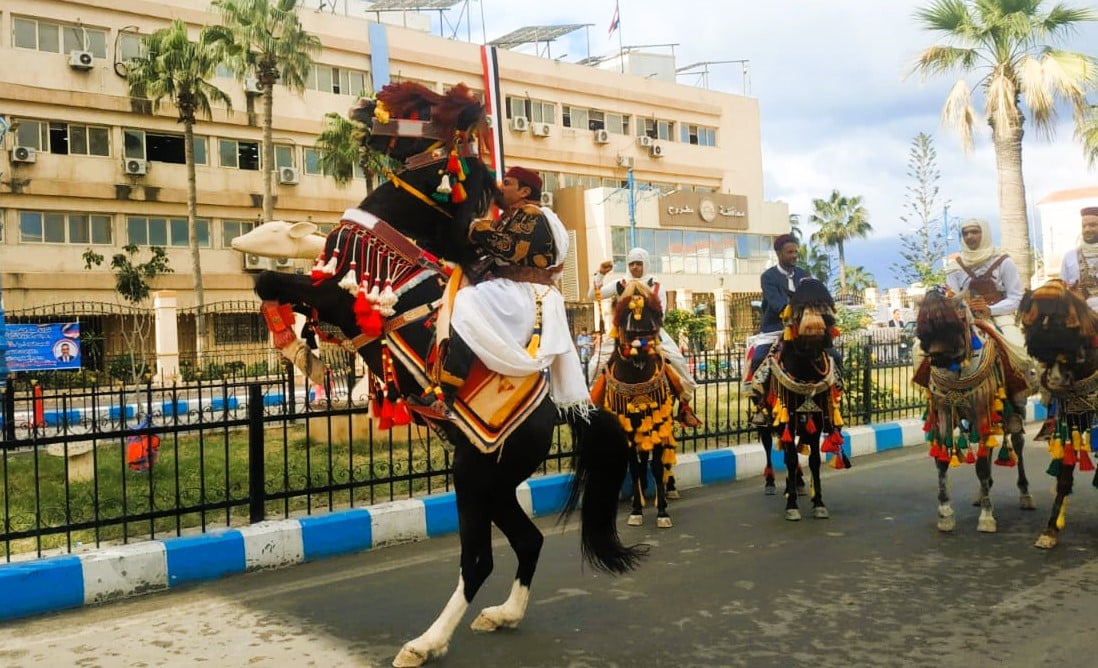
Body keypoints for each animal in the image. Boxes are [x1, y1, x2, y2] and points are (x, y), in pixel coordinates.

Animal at [1014, 280, 1098, 547]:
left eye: (1063, 323)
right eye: (1030, 325)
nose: (1053, 379)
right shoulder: (1073, 420)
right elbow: (1064, 475)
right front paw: (1050, 530)